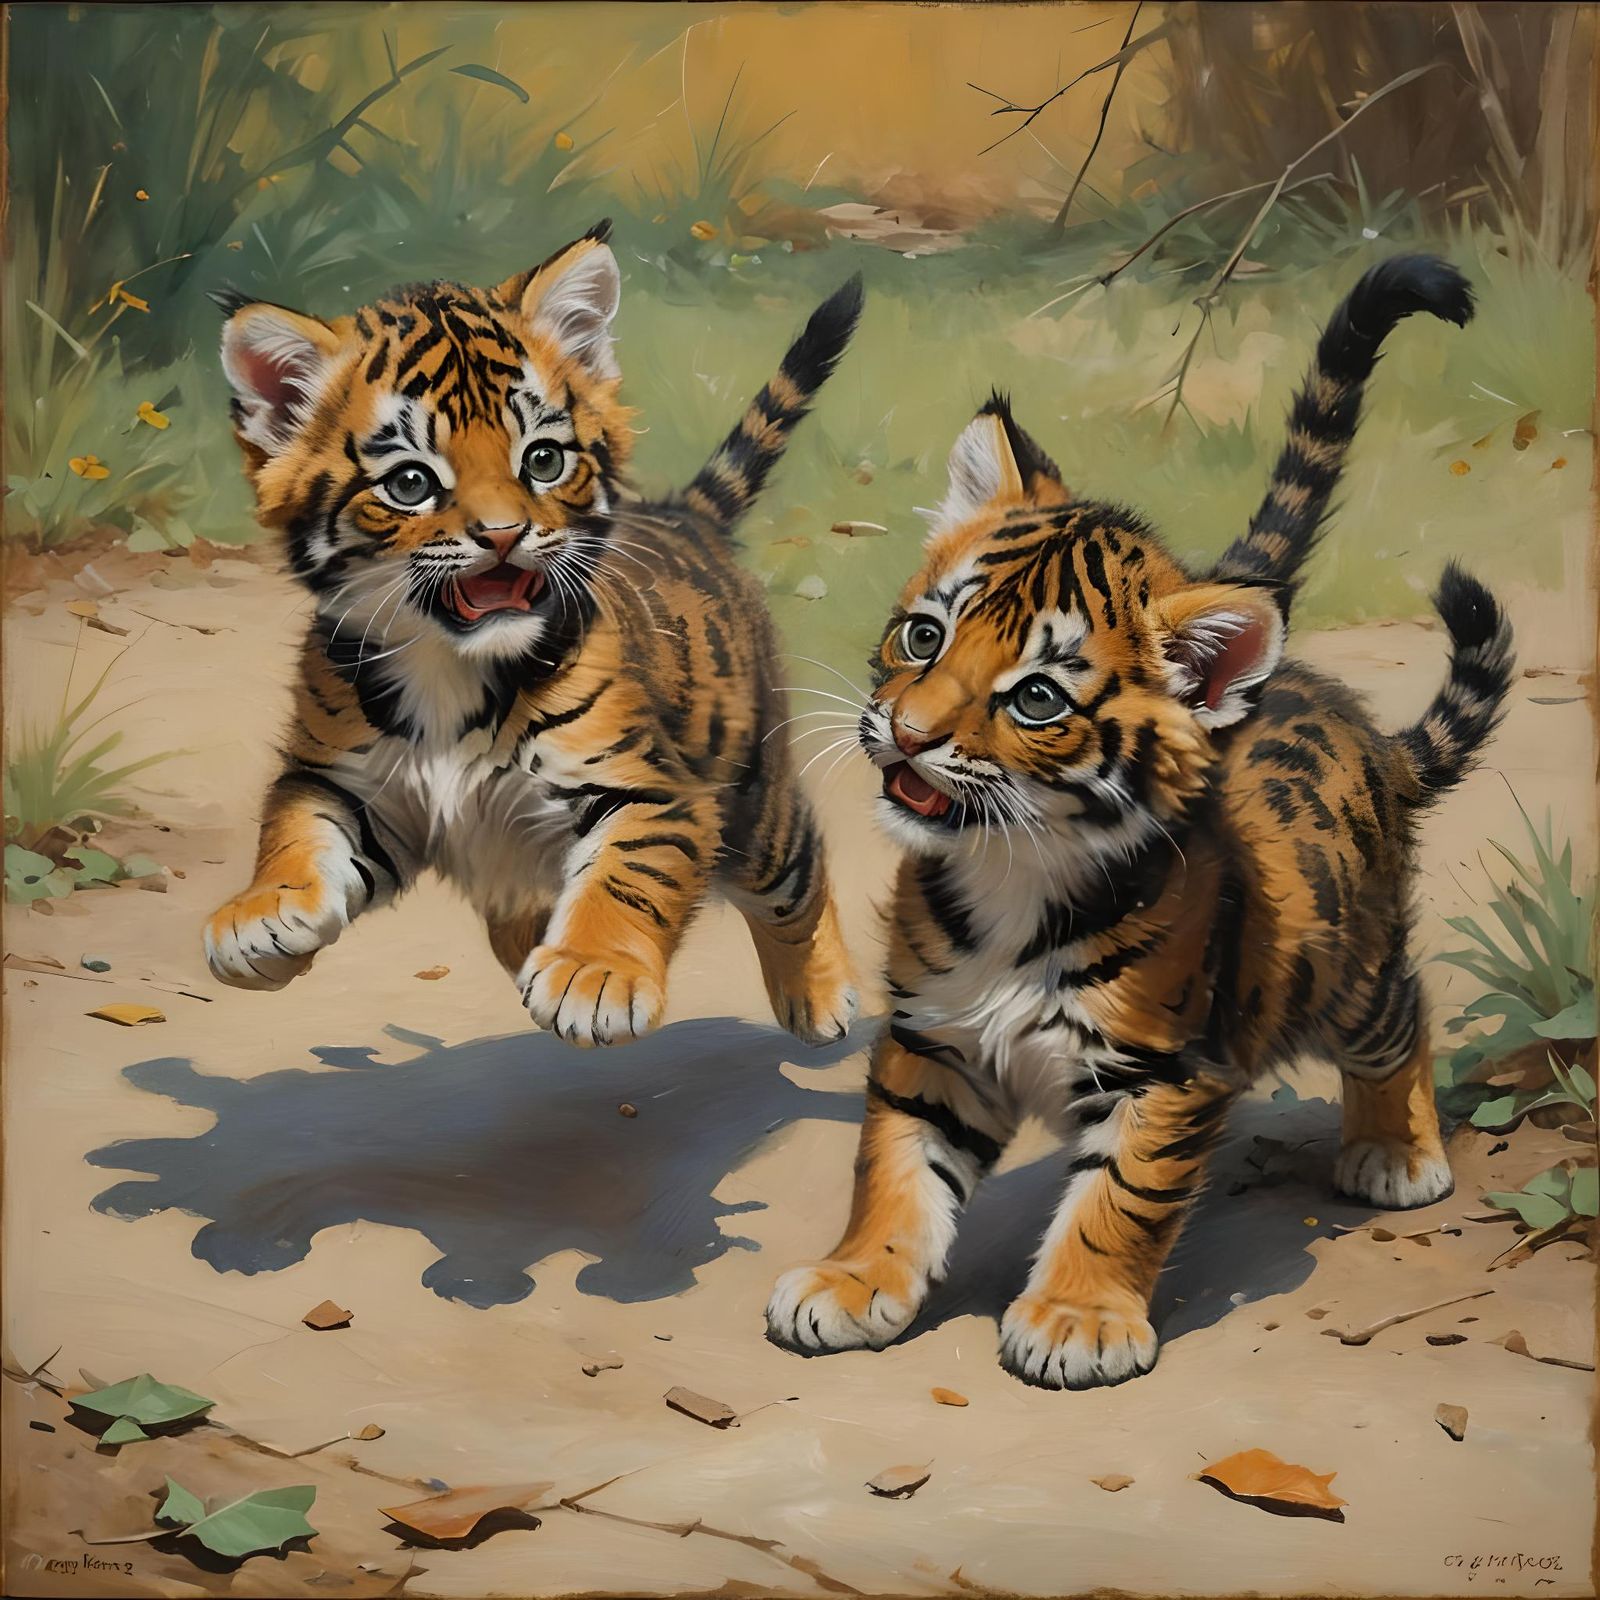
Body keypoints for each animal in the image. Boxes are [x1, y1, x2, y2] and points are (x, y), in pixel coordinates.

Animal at [204, 220, 863, 1050]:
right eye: (411, 483)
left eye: (543, 461)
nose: (503, 535)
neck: (448, 666)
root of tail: (684, 513)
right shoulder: (348, 785)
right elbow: (293, 827)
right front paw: (262, 916)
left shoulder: (654, 790)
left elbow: (629, 876)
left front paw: (595, 974)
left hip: (754, 800)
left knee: (799, 872)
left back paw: (819, 997)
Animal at [766, 254, 1514, 1389]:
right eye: (923, 634)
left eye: (1036, 698)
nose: (905, 733)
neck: (1009, 871)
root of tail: (1365, 731)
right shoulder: (933, 1041)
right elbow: (891, 1169)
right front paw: (853, 1282)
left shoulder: (1162, 1074)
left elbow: (1118, 1200)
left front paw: (1076, 1320)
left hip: (1346, 972)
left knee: (1402, 1013)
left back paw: (1396, 1154)